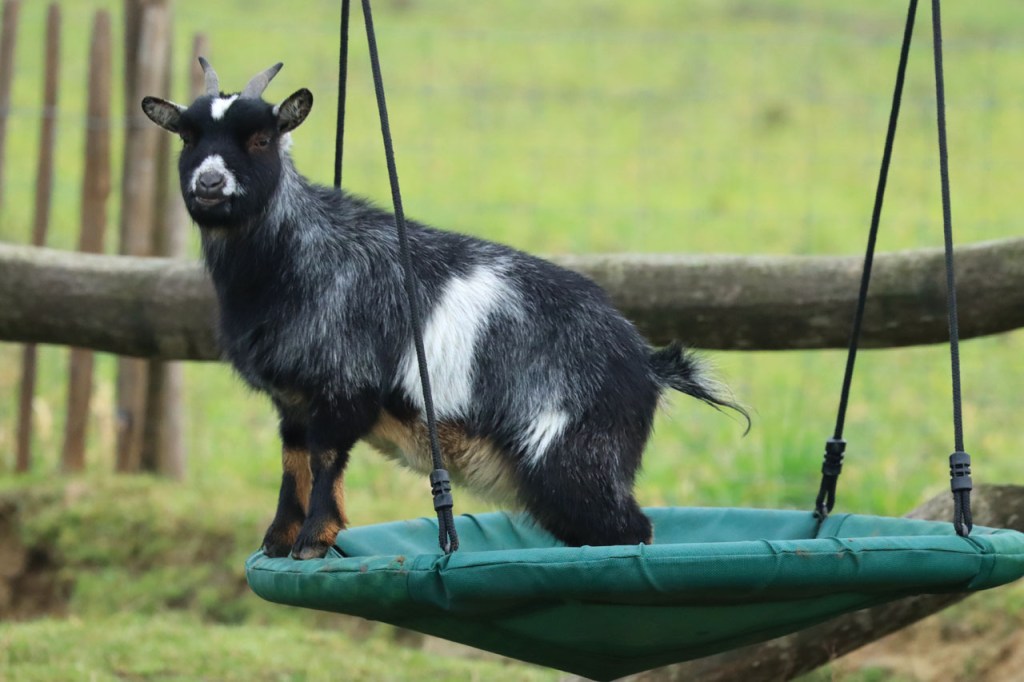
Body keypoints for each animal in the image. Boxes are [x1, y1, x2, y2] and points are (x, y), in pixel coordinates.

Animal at [141, 59, 748, 559]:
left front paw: (313, 541)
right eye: (187, 136)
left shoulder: (344, 387)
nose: (209, 183)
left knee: (630, 530)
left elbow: (326, 460)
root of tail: (647, 361)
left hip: (573, 458)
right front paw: (277, 540)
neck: (292, 260)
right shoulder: (292, 400)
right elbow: (295, 465)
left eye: (262, 137)